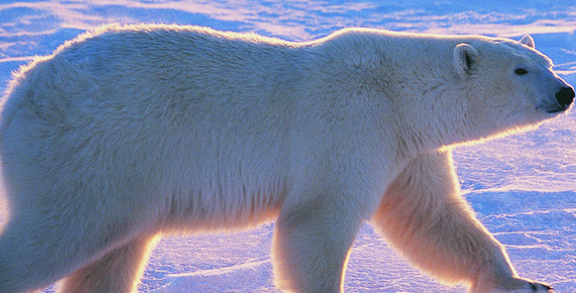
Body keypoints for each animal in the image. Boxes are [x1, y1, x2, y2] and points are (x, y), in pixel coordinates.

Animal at [0, 25, 572, 292]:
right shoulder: (349, 127)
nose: (565, 92)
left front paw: (525, 281)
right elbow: (315, 222)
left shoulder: (407, 151)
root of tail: (23, 87)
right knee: (59, 233)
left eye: (545, 59)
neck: (398, 92)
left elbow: (434, 218)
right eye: (521, 70)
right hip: (98, 152)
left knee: (114, 253)